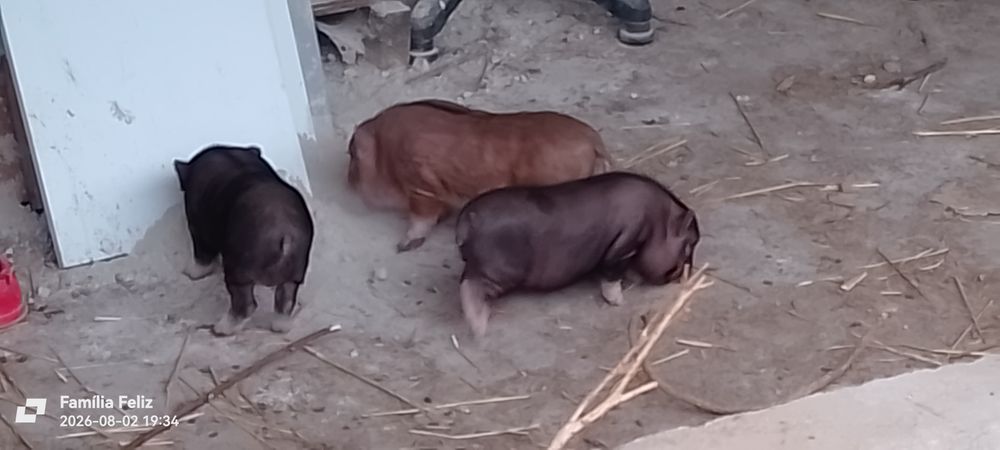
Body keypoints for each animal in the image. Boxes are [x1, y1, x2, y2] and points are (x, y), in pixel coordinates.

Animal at [173, 144, 315, 336]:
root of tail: (285, 236)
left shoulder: (197, 226)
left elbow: (201, 254)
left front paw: (189, 273)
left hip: (238, 271)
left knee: (246, 305)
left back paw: (221, 329)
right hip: (295, 274)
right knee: (285, 302)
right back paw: (280, 327)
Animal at [346, 99, 612, 253]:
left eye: (351, 157)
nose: (347, 184)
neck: (383, 152)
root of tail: (594, 141)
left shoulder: (421, 188)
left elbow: (420, 218)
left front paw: (402, 246)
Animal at [454, 171, 700, 338]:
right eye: (688, 246)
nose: (685, 275)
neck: (659, 221)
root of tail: (467, 220)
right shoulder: (625, 242)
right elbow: (612, 273)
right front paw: (619, 302)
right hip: (498, 269)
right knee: (470, 286)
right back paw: (479, 327)